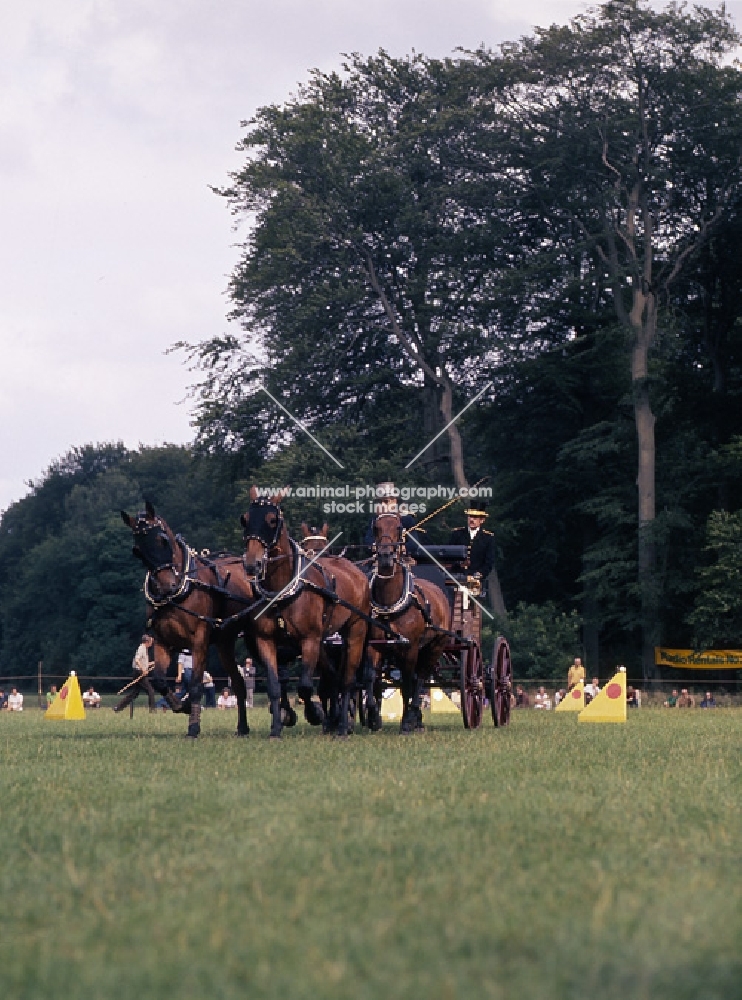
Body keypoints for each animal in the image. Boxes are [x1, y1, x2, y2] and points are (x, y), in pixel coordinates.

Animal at [121, 504, 294, 740]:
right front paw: (182, 706)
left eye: (162, 540)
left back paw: (286, 714)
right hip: (224, 643)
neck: (183, 589)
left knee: (278, 675)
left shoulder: (199, 642)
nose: (167, 586)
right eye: (137, 550)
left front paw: (193, 727)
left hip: (255, 638)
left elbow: (196, 685)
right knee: (239, 684)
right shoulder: (162, 641)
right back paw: (242, 727)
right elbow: (159, 680)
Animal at [243, 488, 370, 740]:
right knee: (333, 678)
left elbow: (304, 686)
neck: (283, 590)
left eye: (272, 520)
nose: (252, 564)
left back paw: (342, 725)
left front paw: (315, 714)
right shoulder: (266, 640)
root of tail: (357, 572)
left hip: (356, 631)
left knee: (347, 680)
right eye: (245, 519)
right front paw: (276, 728)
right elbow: (275, 686)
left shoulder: (309, 639)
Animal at [368, 512, 450, 732]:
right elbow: (372, 678)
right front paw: (373, 715)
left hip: (434, 646)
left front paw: (406, 721)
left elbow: (407, 685)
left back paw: (413, 714)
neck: (390, 603)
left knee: (421, 677)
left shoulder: (410, 647)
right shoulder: (375, 646)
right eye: (376, 527)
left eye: (398, 527)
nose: (385, 556)